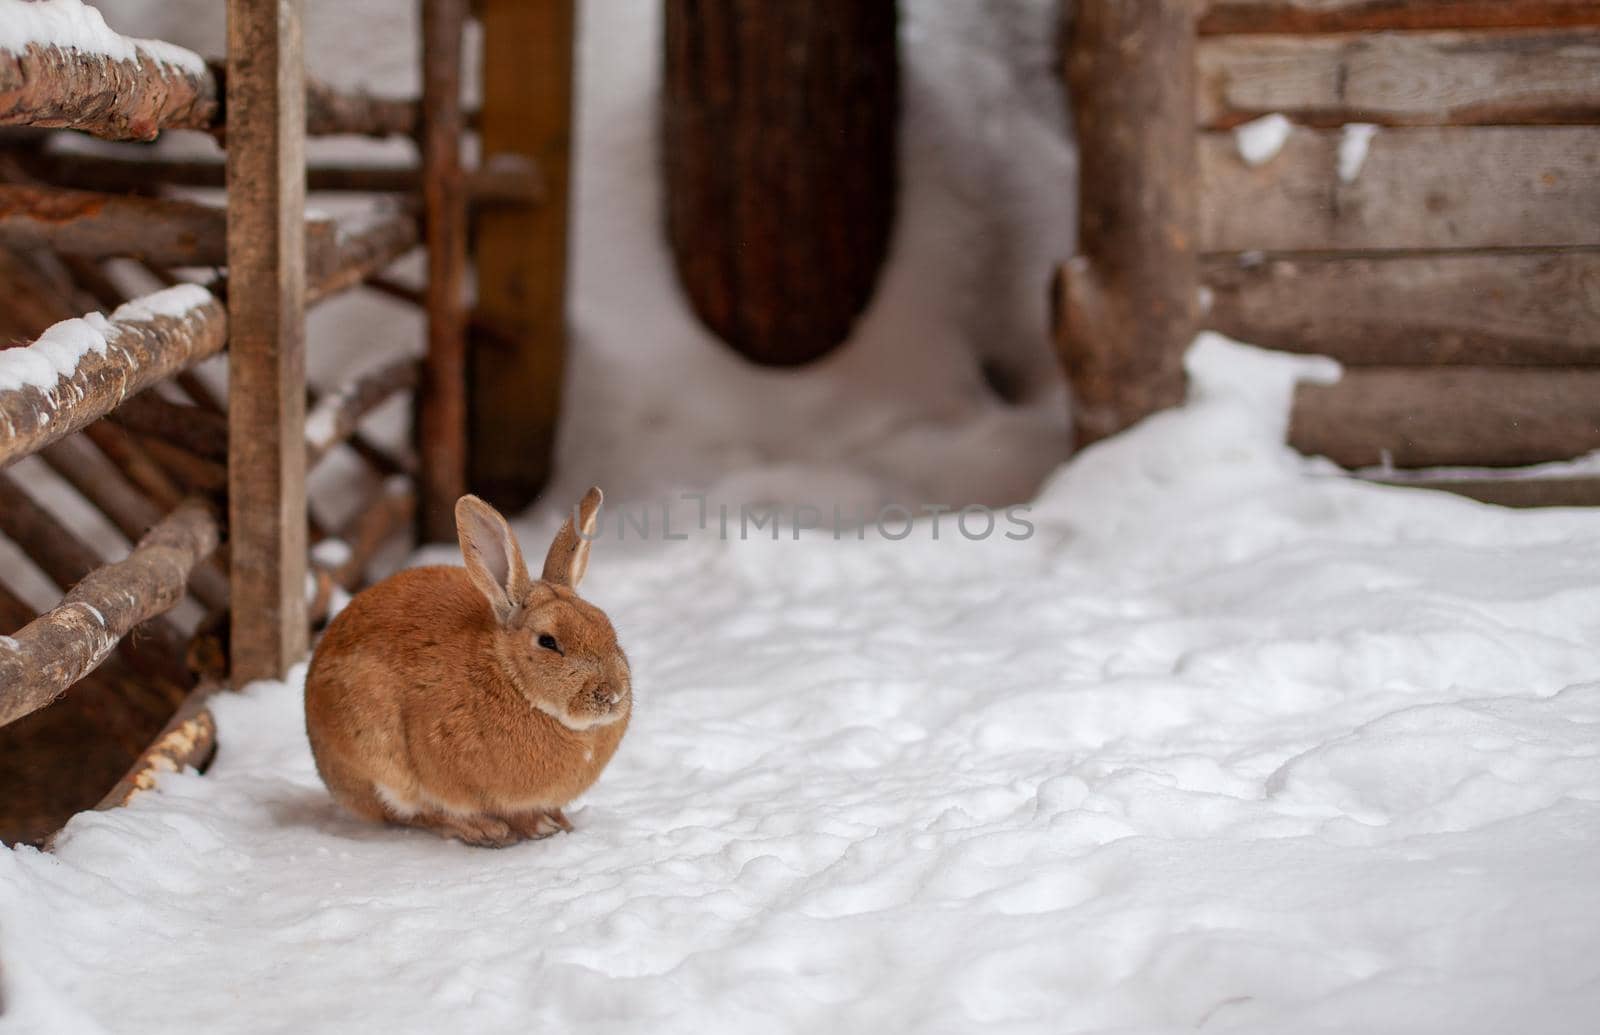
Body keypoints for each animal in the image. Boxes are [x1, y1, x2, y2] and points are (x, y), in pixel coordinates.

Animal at [302, 489, 627, 844]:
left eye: (606, 625)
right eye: (548, 642)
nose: (613, 695)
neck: (514, 682)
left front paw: (560, 823)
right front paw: (539, 827)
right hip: (375, 755)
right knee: (411, 812)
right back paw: (485, 831)